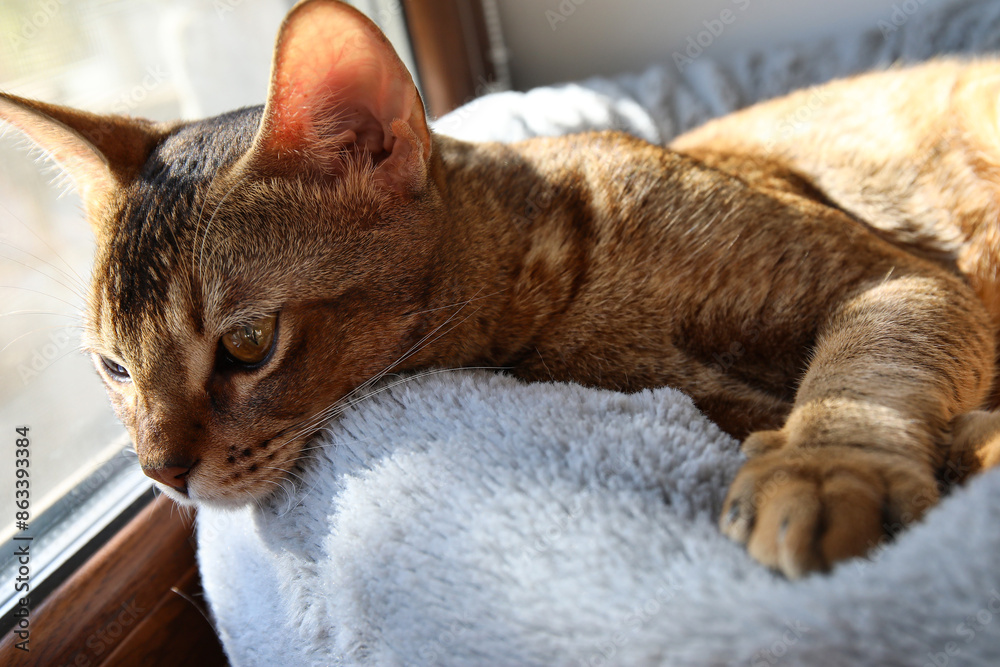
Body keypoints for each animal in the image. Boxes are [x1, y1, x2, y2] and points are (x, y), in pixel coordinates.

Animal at [1, 0, 1000, 580]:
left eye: (248, 343)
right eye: (114, 369)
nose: (158, 472)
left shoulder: (894, 274)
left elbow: (859, 371)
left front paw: (828, 468)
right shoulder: (700, 392)